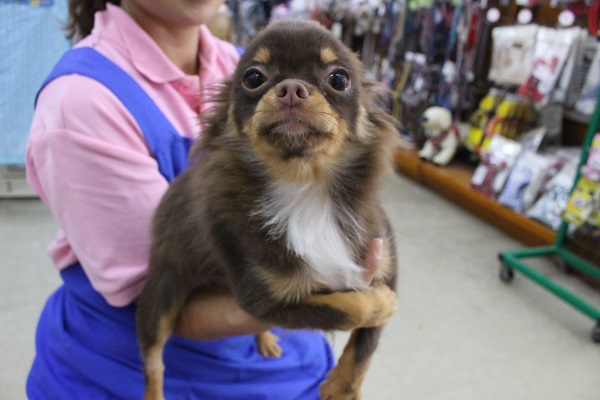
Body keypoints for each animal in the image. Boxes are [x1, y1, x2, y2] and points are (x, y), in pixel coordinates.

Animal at [136, 18, 398, 400]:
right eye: (254, 78)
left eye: (339, 79)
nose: (291, 88)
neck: (305, 187)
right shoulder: (264, 299)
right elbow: (344, 309)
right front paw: (377, 304)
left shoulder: (385, 260)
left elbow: (367, 343)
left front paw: (343, 387)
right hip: (160, 297)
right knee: (154, 363)